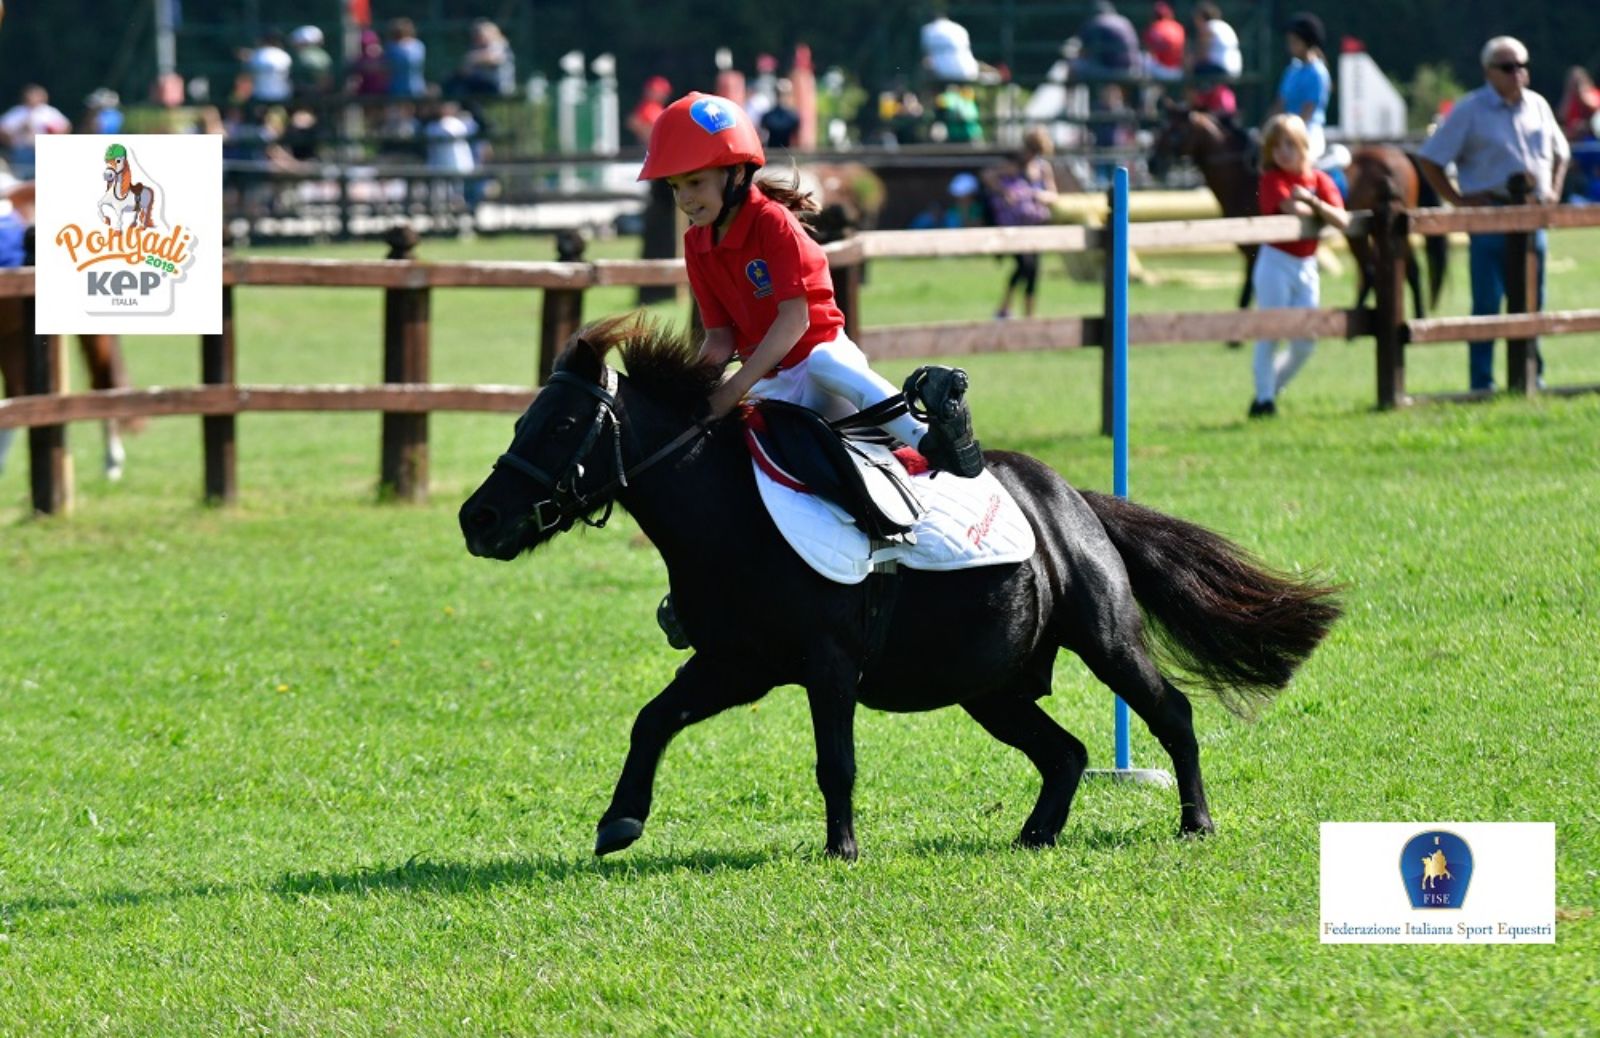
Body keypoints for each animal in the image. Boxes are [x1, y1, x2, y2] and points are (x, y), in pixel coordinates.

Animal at [457, 315, 1344, 857]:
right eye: (522, 420)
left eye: (562, 424)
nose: (479, 519)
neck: (730, 518)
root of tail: (1074, 501)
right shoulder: (734, 665)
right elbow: (653, 720)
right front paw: (619, 820)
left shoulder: (825, 665)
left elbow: (835, 761)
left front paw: (841, 848)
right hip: (990, 688)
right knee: (1065, 752)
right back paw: (1035, 835)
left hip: (1106, 640)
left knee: (1170, 714)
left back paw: (1196, 822)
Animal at [1145, 107, 1446, 319]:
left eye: (1175, 132)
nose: (1152, 163)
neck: (1243, 177)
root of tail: (1401, 154)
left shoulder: (1255, 243)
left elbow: (1247, 287)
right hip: (1362, 234)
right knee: (1390, 270)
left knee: (1392, 271)